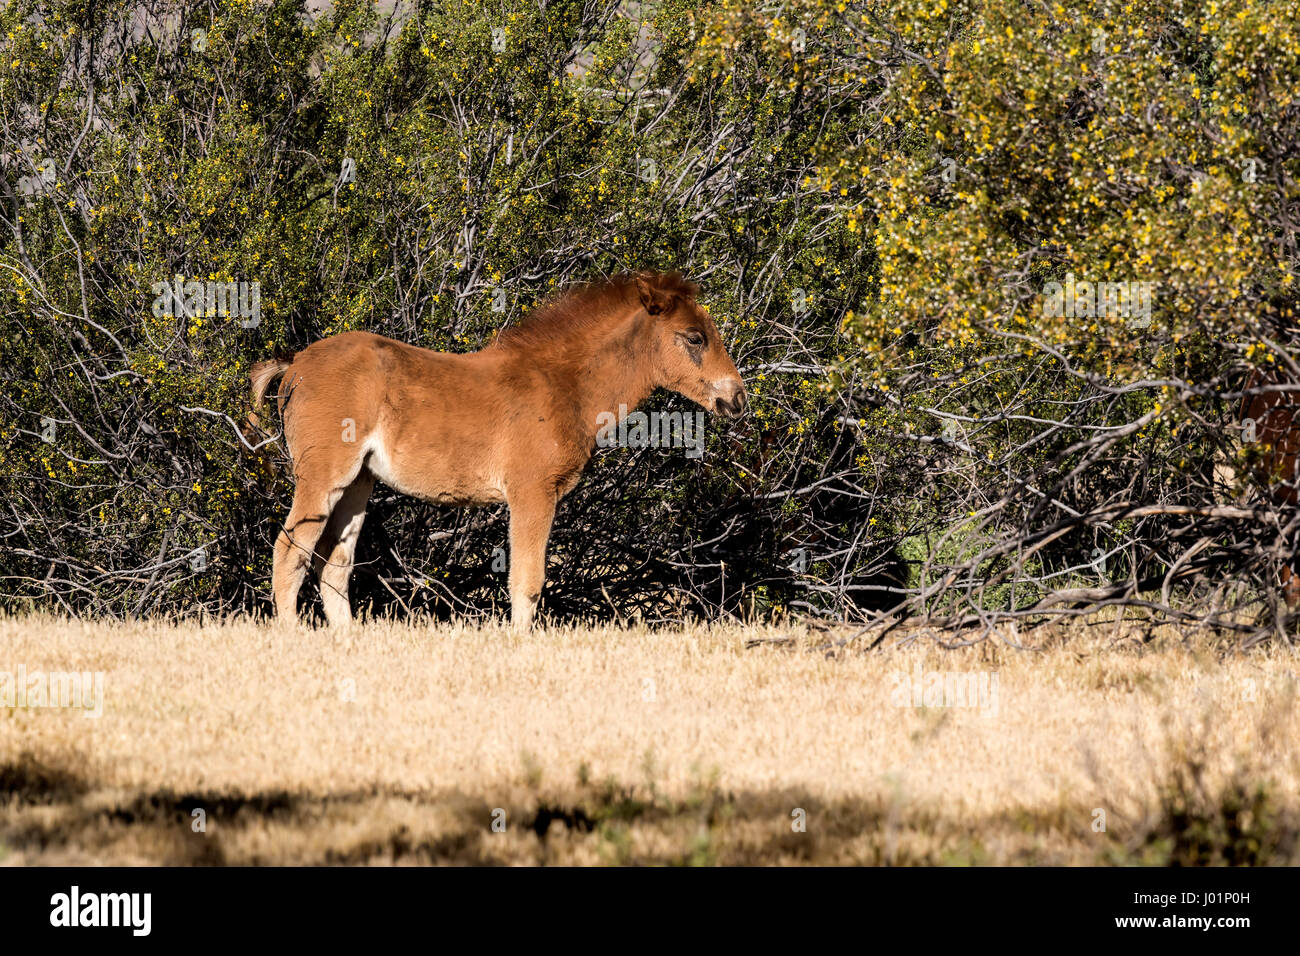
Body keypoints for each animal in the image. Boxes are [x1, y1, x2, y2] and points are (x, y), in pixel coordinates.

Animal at [253, 270, 748, 629]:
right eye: (694, 337)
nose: (737, 399)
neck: (564, 385)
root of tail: (294, 365)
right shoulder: (533, 493)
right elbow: (527, 582)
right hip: (324, 475)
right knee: (289, 551)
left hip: (358, 482)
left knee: (334, 564)